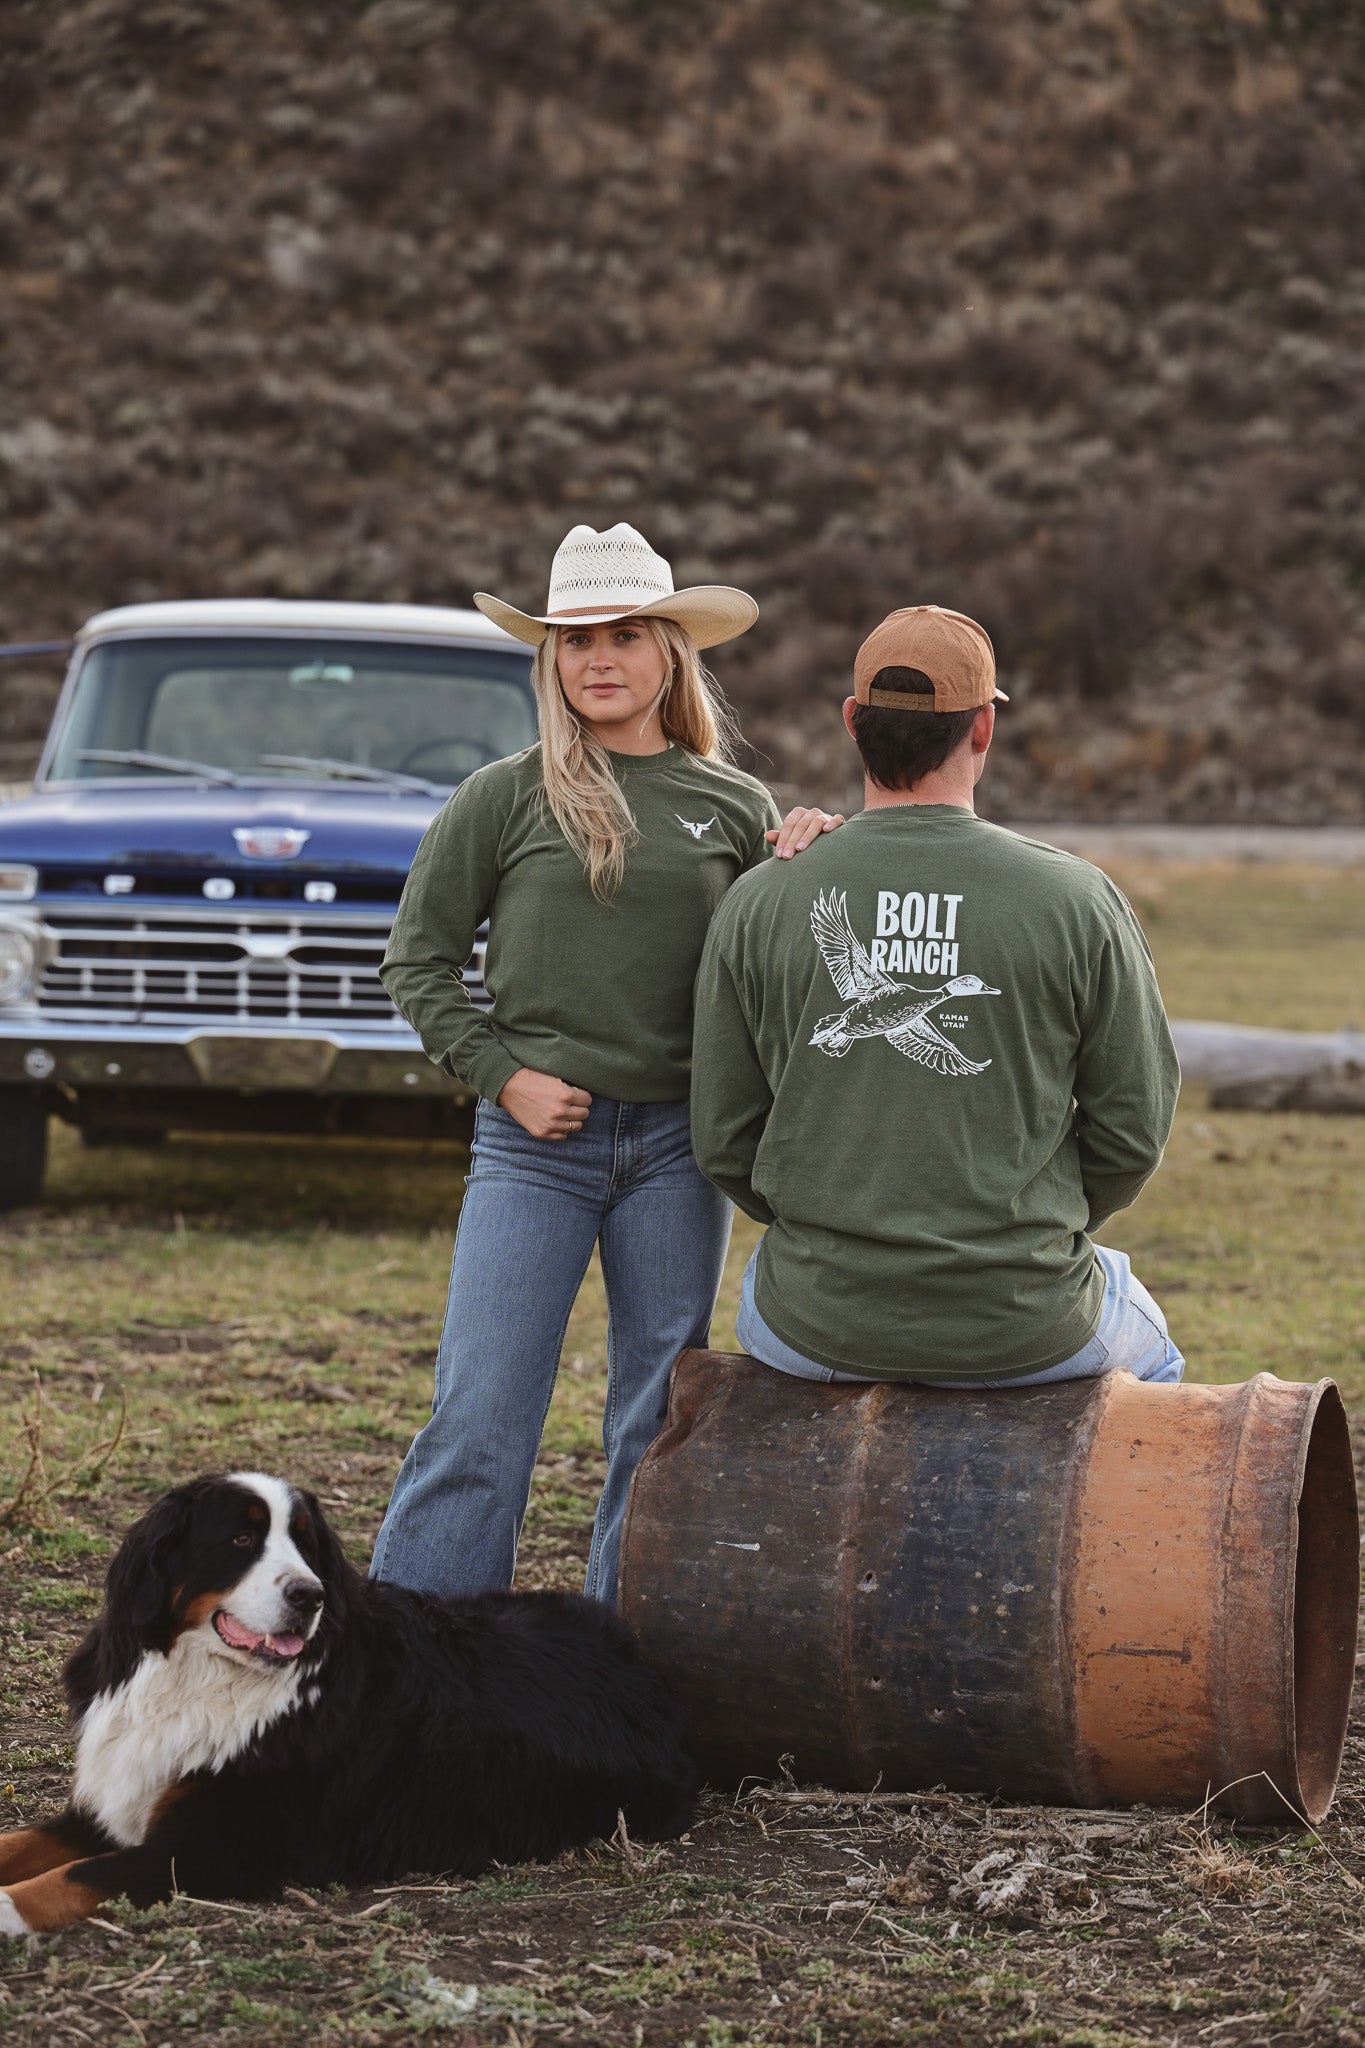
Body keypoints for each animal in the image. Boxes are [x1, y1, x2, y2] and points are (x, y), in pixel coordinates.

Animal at [0, 1474, 687, 1933]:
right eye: (242, 1538)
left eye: (305, 1547)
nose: (310, 1595)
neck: (203, 1680)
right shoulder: (118, 1804)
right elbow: (23, 1843)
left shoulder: (217, 1847)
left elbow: (74, 1876)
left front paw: (8, 1909)